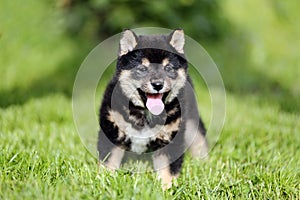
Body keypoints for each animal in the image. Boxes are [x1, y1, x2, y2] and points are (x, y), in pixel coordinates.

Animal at [97, 28, 207, 189]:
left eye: (168, 68)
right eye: (142, 68)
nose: (157, 84)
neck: (144, 114)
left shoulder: (170, 138)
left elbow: (167, 170)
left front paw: (167, 189)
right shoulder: (112, 132)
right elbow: (108, 163)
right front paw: (103, 183)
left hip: (192, 121)